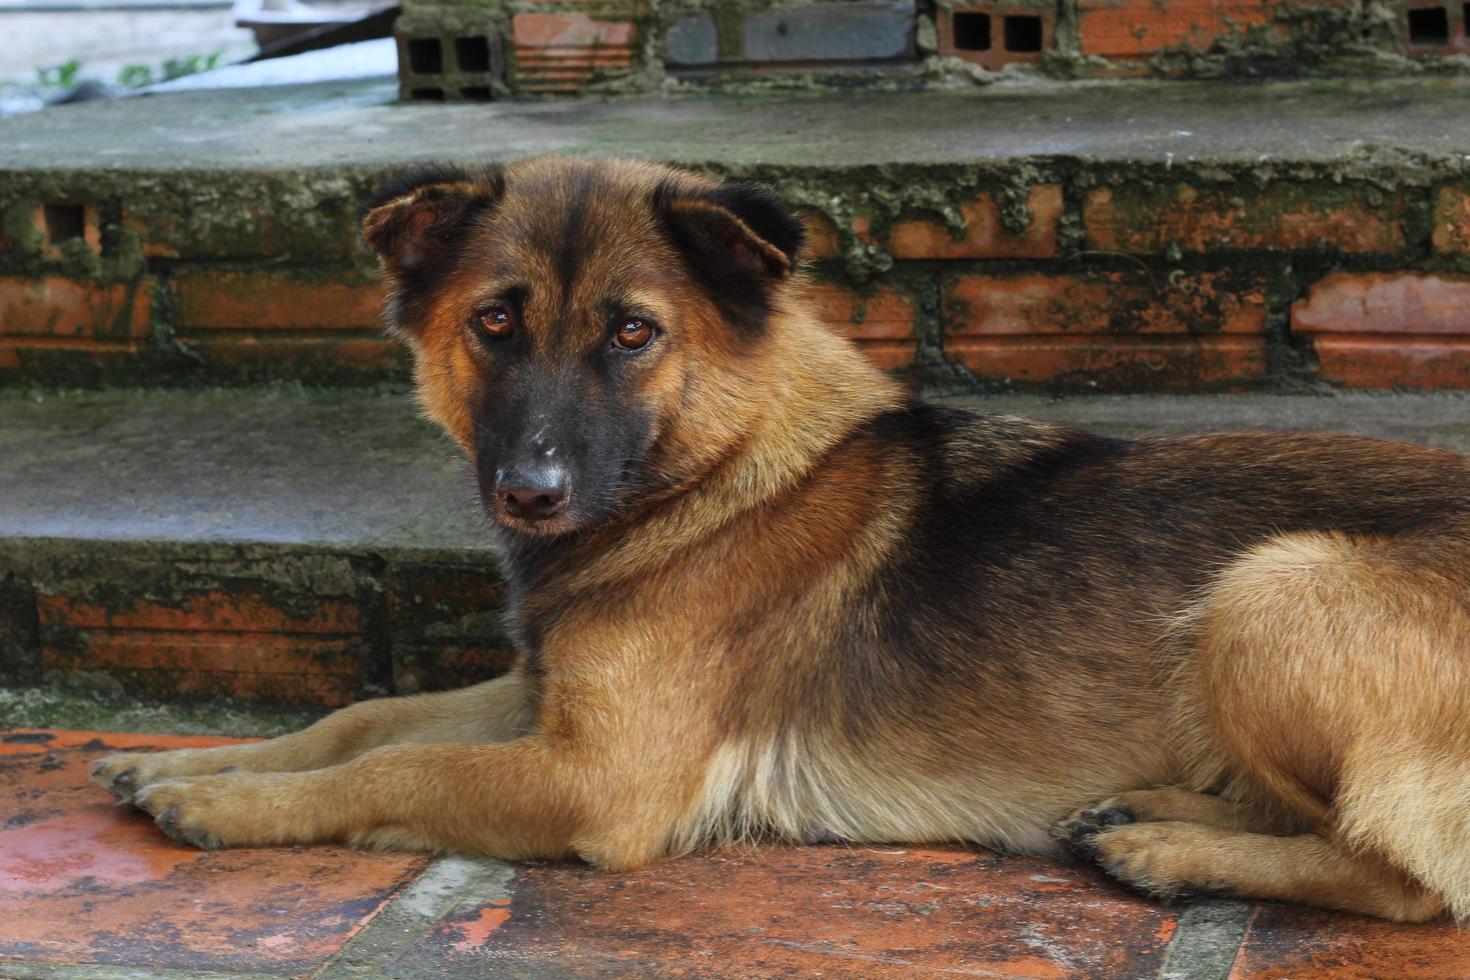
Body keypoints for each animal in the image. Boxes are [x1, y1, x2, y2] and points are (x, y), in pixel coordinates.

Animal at [91, 157, 1470, 922]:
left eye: (633, 332)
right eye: (493, 322)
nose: (531, 490)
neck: (718, 471)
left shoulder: (595, 776)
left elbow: (396, 769)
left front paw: (226, 801)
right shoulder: (544, 700)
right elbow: (364, 717)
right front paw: (187, 760)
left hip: (1272, 584)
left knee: (1405, 875)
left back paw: (1170, 849)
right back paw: (1152, 806)